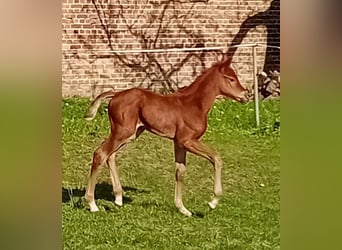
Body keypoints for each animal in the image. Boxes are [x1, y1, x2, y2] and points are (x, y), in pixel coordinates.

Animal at [84, 57, 247, 216]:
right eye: (231, 79)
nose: (245, 95)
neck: (195, 104)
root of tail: (116, 94)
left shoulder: (179, 143)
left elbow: (180, 172)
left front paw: (182, 208)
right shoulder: (188, 140)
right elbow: (216, 158)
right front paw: (213, 201)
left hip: (130, 134)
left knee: (110, 155)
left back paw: (118, 197)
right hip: (122, 132)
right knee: (100, 153)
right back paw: (92, 204)